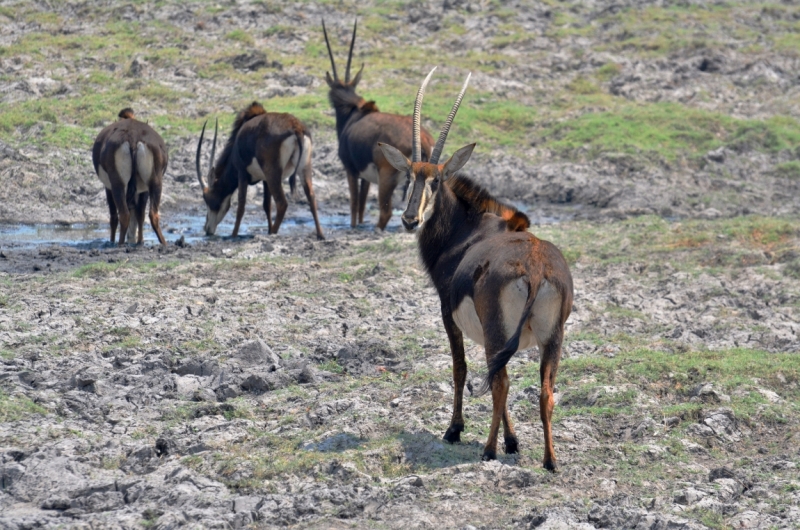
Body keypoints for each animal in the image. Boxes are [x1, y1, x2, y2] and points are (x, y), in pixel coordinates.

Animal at [92, 110, 167, 246]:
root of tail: (133, 138)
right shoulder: (144, 189)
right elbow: (140, 215)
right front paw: (140, 241)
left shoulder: (108, 187)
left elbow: (113, 217)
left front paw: (111, 241)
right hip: (155, 182)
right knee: (152, 214)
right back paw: (163, 243)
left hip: (118, 185)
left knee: (123, 214)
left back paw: (120, 243)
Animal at [195, 99, 324, 239]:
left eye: (208, 200)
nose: (207, 229)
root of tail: (296, 128)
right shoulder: (265, 179)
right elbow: (266, 205)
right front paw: (267, 229)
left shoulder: (242, 173)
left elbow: (241, 206)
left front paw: (233, 235)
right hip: (303, 167)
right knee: (311, 197)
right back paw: (320, 235)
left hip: (273, 172)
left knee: (282, 203)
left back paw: (274, 232)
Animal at [324, 20, 434, 229]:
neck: (355, 112)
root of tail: (423, 140)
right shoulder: (366, 178)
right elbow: (361, 206)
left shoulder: (351, 170)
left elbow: (354, 204)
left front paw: (353, 227)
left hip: (386, 177)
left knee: (386, 212)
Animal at [382, 69, 576, 466]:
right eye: (409, 177)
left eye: (436, 180)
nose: (410, 220)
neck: (468, 230)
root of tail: (535, 269)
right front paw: (513, 441)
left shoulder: (448, 314)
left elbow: (460, 369)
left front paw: (455, 430)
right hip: (552, 337)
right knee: (544, 390)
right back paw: (549, 461)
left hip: (497, 330)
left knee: (500, 381)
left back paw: (488, 449)